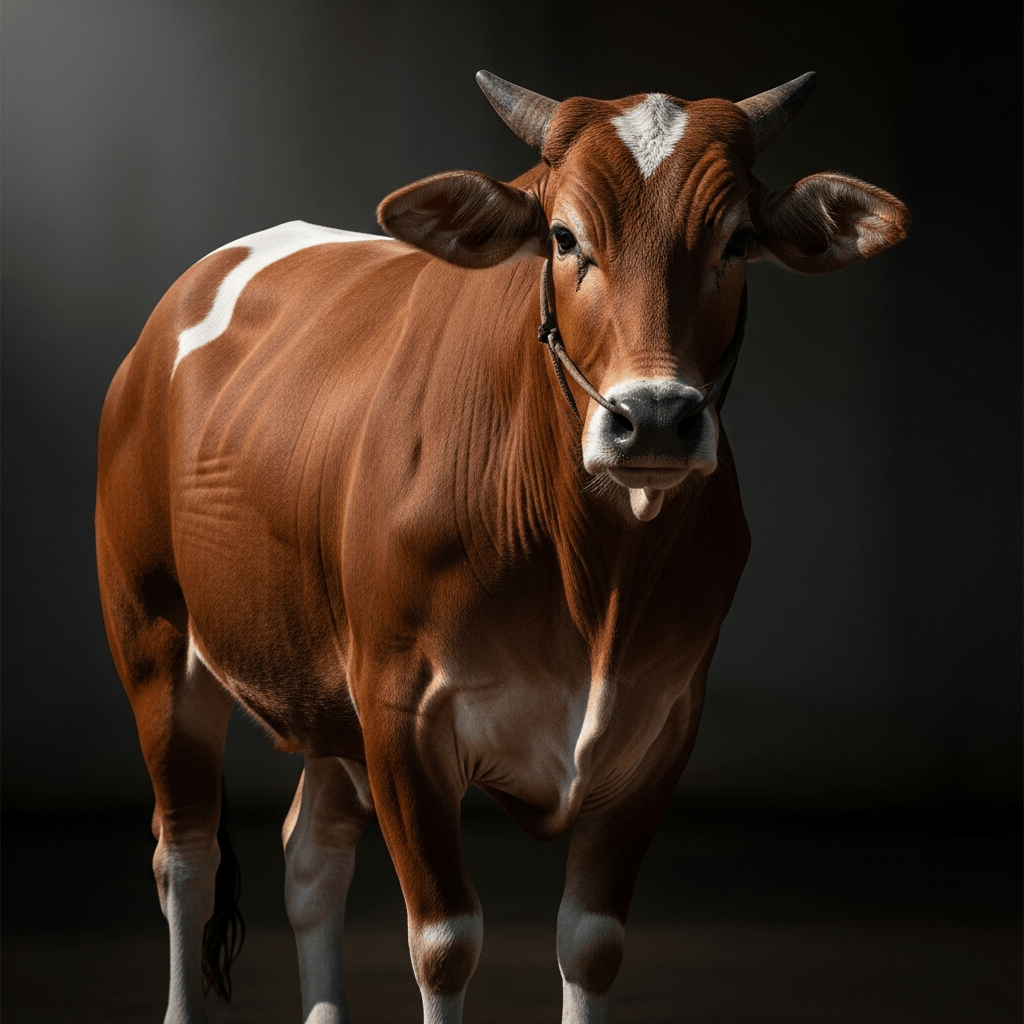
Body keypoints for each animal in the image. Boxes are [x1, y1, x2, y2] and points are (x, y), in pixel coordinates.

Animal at [95, 70, 908, 1024]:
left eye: (737, 241)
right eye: (563, 237)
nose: (654, 419)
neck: (594, 584)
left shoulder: (660, 725)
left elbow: (591, 946)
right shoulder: (402, 712)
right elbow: (445, 945)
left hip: (328, 694)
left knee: (311, 858)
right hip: (155, 642)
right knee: (184, 859)